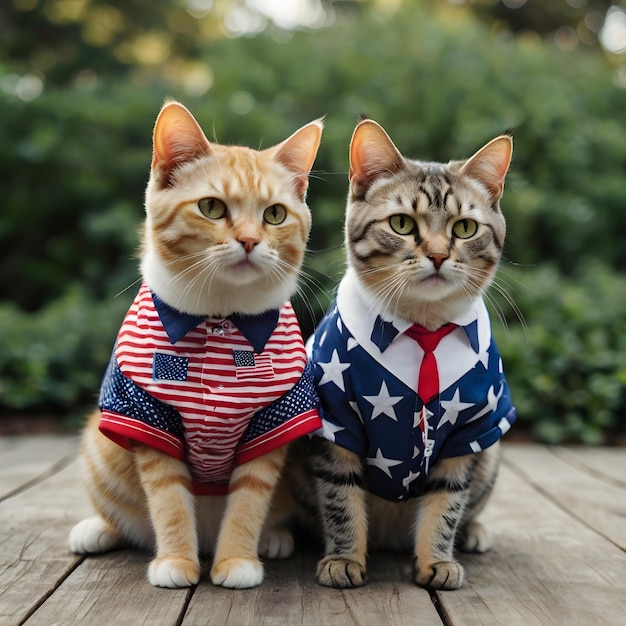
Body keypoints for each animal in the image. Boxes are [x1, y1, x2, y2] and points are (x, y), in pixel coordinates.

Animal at [68, 101, 322, 584]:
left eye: (275, 215)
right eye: (211, 207)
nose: (249, 240)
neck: (218, 320)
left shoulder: (274, 420)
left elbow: (249, 500)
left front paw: (237, 561)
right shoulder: (146, 417)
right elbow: (168, 501)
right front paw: (176, 562)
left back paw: (273, 538)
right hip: (99, 447)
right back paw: (95, 529)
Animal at [304, 116, 516, 584]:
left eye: (464, 228)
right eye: (401, 224)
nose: (437, 255)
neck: (424, 329)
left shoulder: (470, 430)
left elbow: (446, 504)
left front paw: (437, 560)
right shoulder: (335, 421)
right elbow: (340, 499)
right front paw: (344, 558)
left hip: (490, 454)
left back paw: (474, 532)